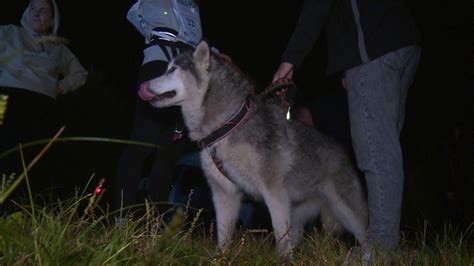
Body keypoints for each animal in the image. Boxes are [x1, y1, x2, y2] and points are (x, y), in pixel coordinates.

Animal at [146, 41, 368, 256]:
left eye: (171, 70)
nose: (144, 85)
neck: (228, 126)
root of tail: (341, 149)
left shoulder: (274, 193)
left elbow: (280, 235)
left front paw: (282, 261)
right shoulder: (224, 193)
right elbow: (223, 235)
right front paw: (221, 258)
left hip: (344, 209)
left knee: (366, 235)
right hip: (298, 212)